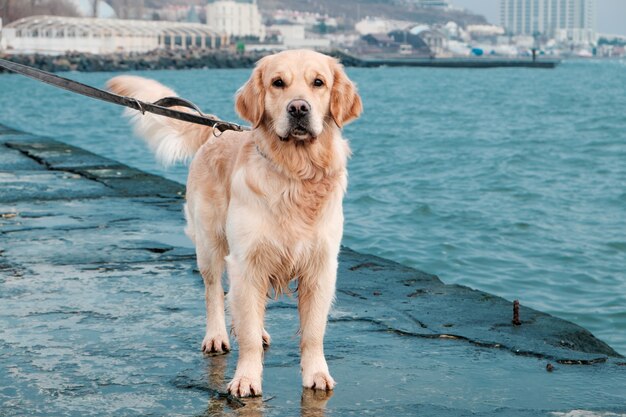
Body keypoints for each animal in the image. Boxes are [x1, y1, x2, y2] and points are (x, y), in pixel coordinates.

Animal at [107, 49, 360, 396]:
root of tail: (218, 130)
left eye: (318, 82)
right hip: (210, 244)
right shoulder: (247, 260)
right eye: (277, 83)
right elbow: (247, 332)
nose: (298, 108)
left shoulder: (320, 267)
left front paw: (317, 374)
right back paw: (217, 336)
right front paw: (246, 378)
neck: (294, 174)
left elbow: (313, 331)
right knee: (215, 292)